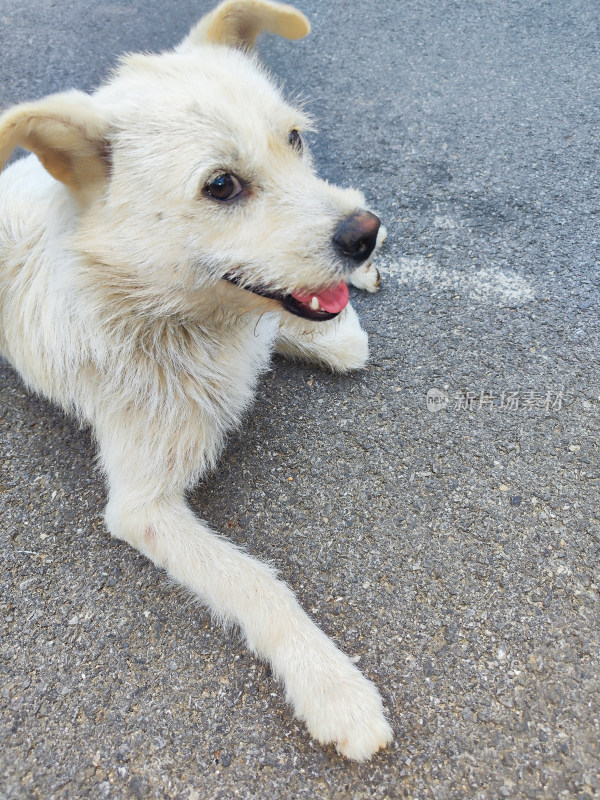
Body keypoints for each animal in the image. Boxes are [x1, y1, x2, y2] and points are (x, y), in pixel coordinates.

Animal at [0, 0, 392, 760]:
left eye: (294, 138)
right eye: (220, 186)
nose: (364, 232)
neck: (177, 318)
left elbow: (344, 340)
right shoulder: (144, 507)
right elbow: (257, 582)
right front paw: (331, 686)